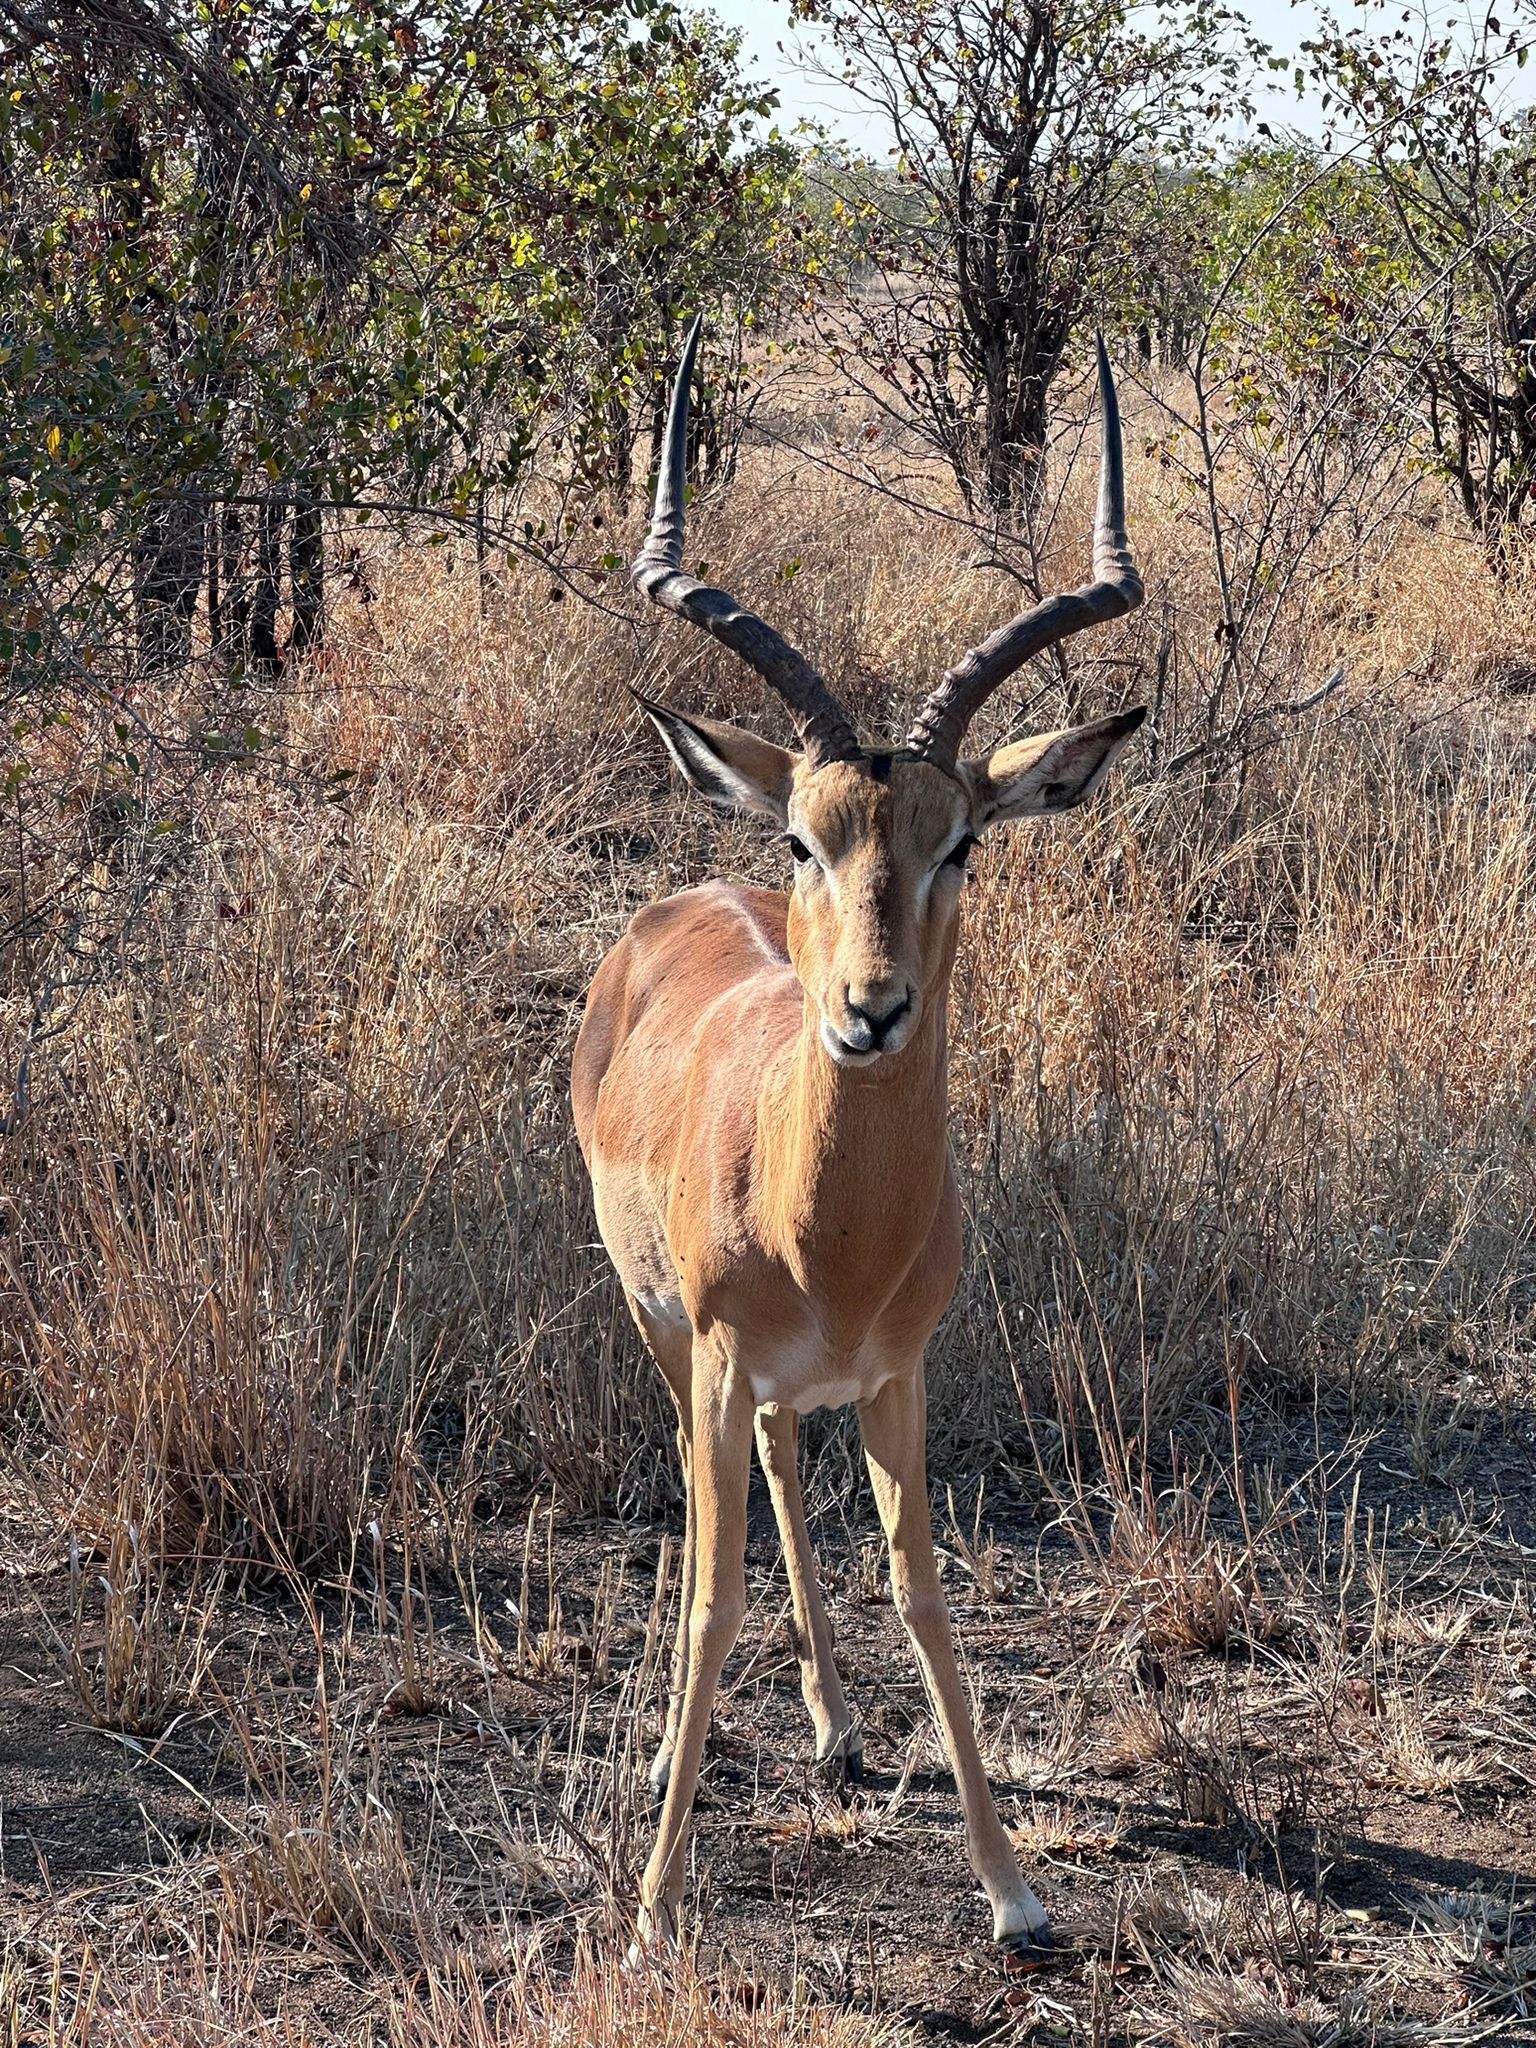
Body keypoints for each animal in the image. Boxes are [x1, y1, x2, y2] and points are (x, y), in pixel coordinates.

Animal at [571, 320, 1144, 1966]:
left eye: (966, 839)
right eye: (805, 837)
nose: (871, 1010)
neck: (824, 1225)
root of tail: (671, 907)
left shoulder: (900, 1371)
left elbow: (924, 1585)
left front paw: (1014, 1888)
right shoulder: (710, 1350)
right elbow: (711, 1593)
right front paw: (653, 1908)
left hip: (776, 1383)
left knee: (778, 1464)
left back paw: (834, 1729)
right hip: (654, 1327)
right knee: (716, 1500)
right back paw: (680, 1756)